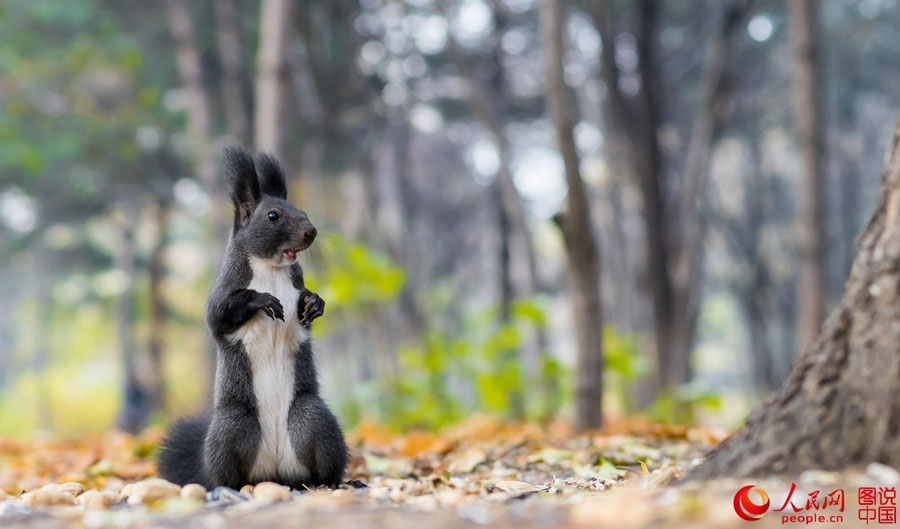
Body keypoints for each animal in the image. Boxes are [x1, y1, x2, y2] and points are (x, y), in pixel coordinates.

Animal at [157, 147, 347, 490]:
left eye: (302, 210)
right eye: (273, 216)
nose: (311, 232)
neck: (270, 268)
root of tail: (274, 473)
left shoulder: (296, 284)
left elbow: (307, 301)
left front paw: (315, 303)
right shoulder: (223, 291)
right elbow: (219, 315)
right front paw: (263, 300)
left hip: (313, 418)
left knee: (323, 463)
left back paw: (334, 483)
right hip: (232, 427)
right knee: (225, 474)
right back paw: (227, 487)